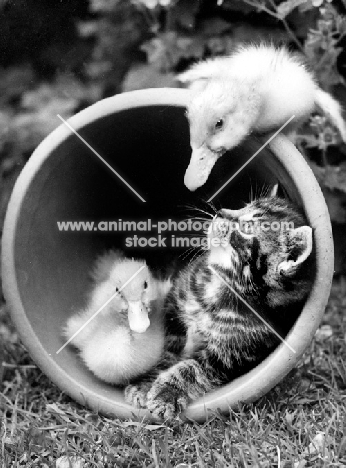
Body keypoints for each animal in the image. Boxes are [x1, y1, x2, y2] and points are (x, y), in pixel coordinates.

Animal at [123, 190, 314, 420]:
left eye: (247, 227)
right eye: (244, 205)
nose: (221, 211)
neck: (220, 286)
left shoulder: (233, 355)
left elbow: (194, 368)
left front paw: (168, 392)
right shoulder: (173, 307)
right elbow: (166, 350)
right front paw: (144, 383)